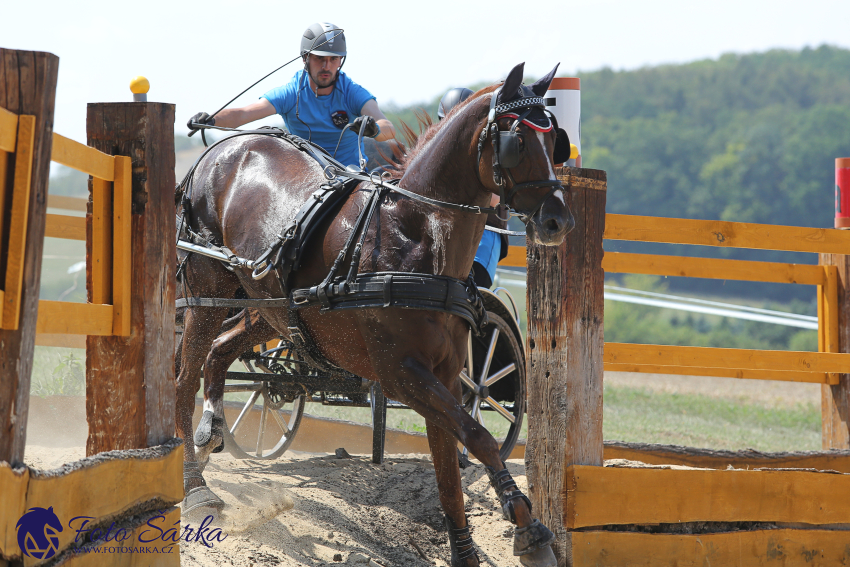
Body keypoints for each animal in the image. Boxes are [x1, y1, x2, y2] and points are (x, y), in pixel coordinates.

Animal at [176, 63, 572, 567]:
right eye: (518, 140)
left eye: (555, 140)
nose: (558, 220)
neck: (418, 234)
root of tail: (220, 150)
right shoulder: (400, 373)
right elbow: (478, 437)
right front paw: (527, 527)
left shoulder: (443, 377)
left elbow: (449, 469)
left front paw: (467, 549)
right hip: (207, 293)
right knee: (184, 379)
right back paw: (195, 486)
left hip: (270, 307)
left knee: (219, 353)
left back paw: (210, 432)